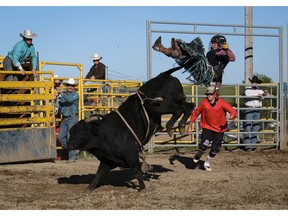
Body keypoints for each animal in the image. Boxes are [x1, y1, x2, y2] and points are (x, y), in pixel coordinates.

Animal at [67, 67, 196, 191]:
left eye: (82, 130)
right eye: (71, 131)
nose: (70, 144)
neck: (104, 133)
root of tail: (164, 74)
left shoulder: (132, 155)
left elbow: (137, 172)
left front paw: (142, 188)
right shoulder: (108, 161)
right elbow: (98, 175)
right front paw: (89, 188)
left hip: (161, 106)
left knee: (179, 110)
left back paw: (170, 126)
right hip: (174, 103)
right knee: (189, 107)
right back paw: (181, 126)